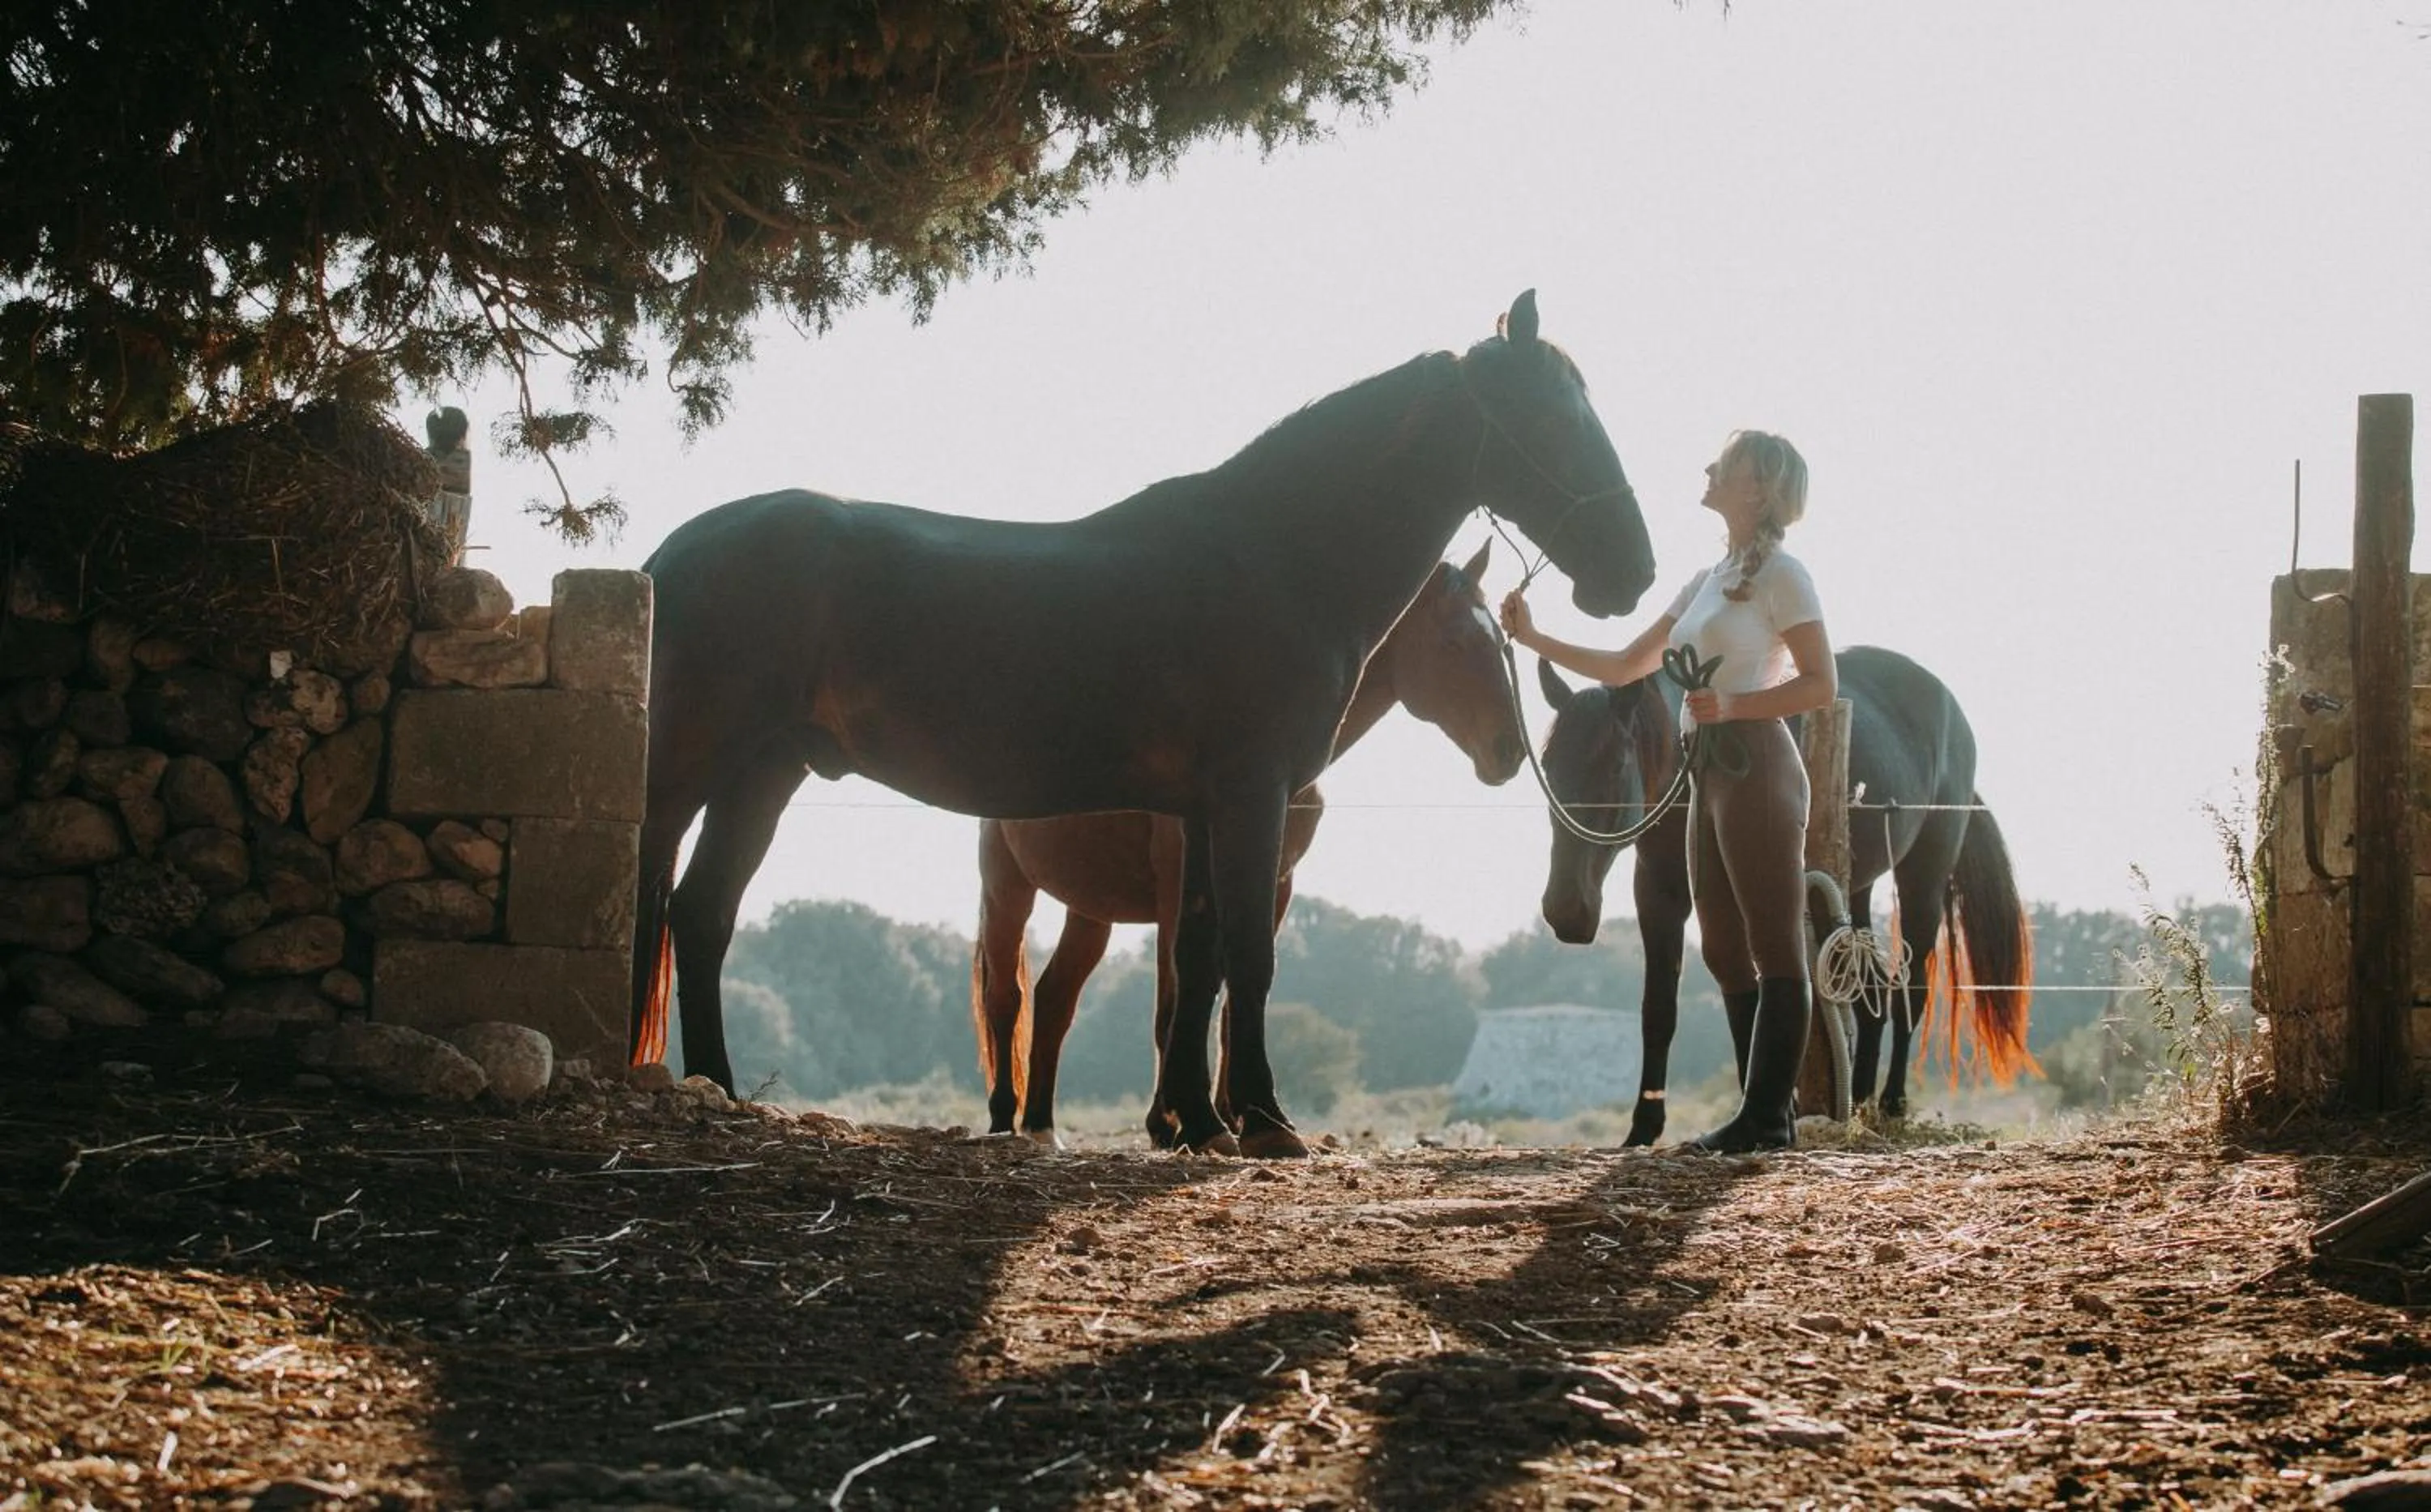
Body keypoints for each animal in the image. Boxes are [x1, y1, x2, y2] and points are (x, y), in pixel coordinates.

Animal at [972, 543, 1524, 1146]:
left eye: (1500, 640)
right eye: (1453, 643)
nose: (1510, 751)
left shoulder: (1275, 883)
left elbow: (1236, 989)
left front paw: (1237, 1117)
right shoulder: (1178, 890)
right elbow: (1177, 1000)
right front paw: (1180, 1122)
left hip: (1091, 909)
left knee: (1054, 1000)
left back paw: (1042, 1126)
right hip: (1008, 891)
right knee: (1007, 998)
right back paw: (1003, 1119)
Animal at [1531, 643, 2034, 1145]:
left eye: (1615, 766)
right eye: (1549, 766)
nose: (1566, 911)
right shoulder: (1659, 893)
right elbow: (1659, 1009)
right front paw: (1643, 1128)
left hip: (1923, 879)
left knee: (1909, 991)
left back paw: (1892, 1106)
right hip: (1857, 889)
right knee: (1869, 991)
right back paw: (1859, 1104)